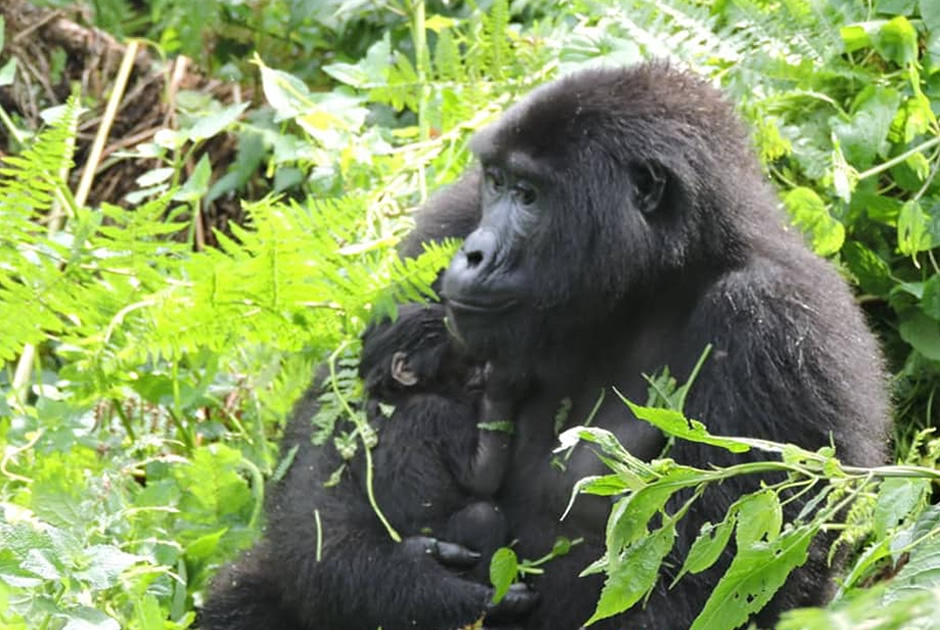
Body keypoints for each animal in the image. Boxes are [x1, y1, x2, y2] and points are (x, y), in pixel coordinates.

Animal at [358, 302, 516, 584]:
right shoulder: (441, 412)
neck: (397, 394)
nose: (479, 372)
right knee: (483, 518)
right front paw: (499, 382)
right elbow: (481, 477)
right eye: (465, 358)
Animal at [402, 61, 888, 628]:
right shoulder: (450, 222)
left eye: (530, 195)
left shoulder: (779, 322)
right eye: (496, 183)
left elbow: (717, 583)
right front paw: (421, 585)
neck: (654, 281)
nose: (473, 254)